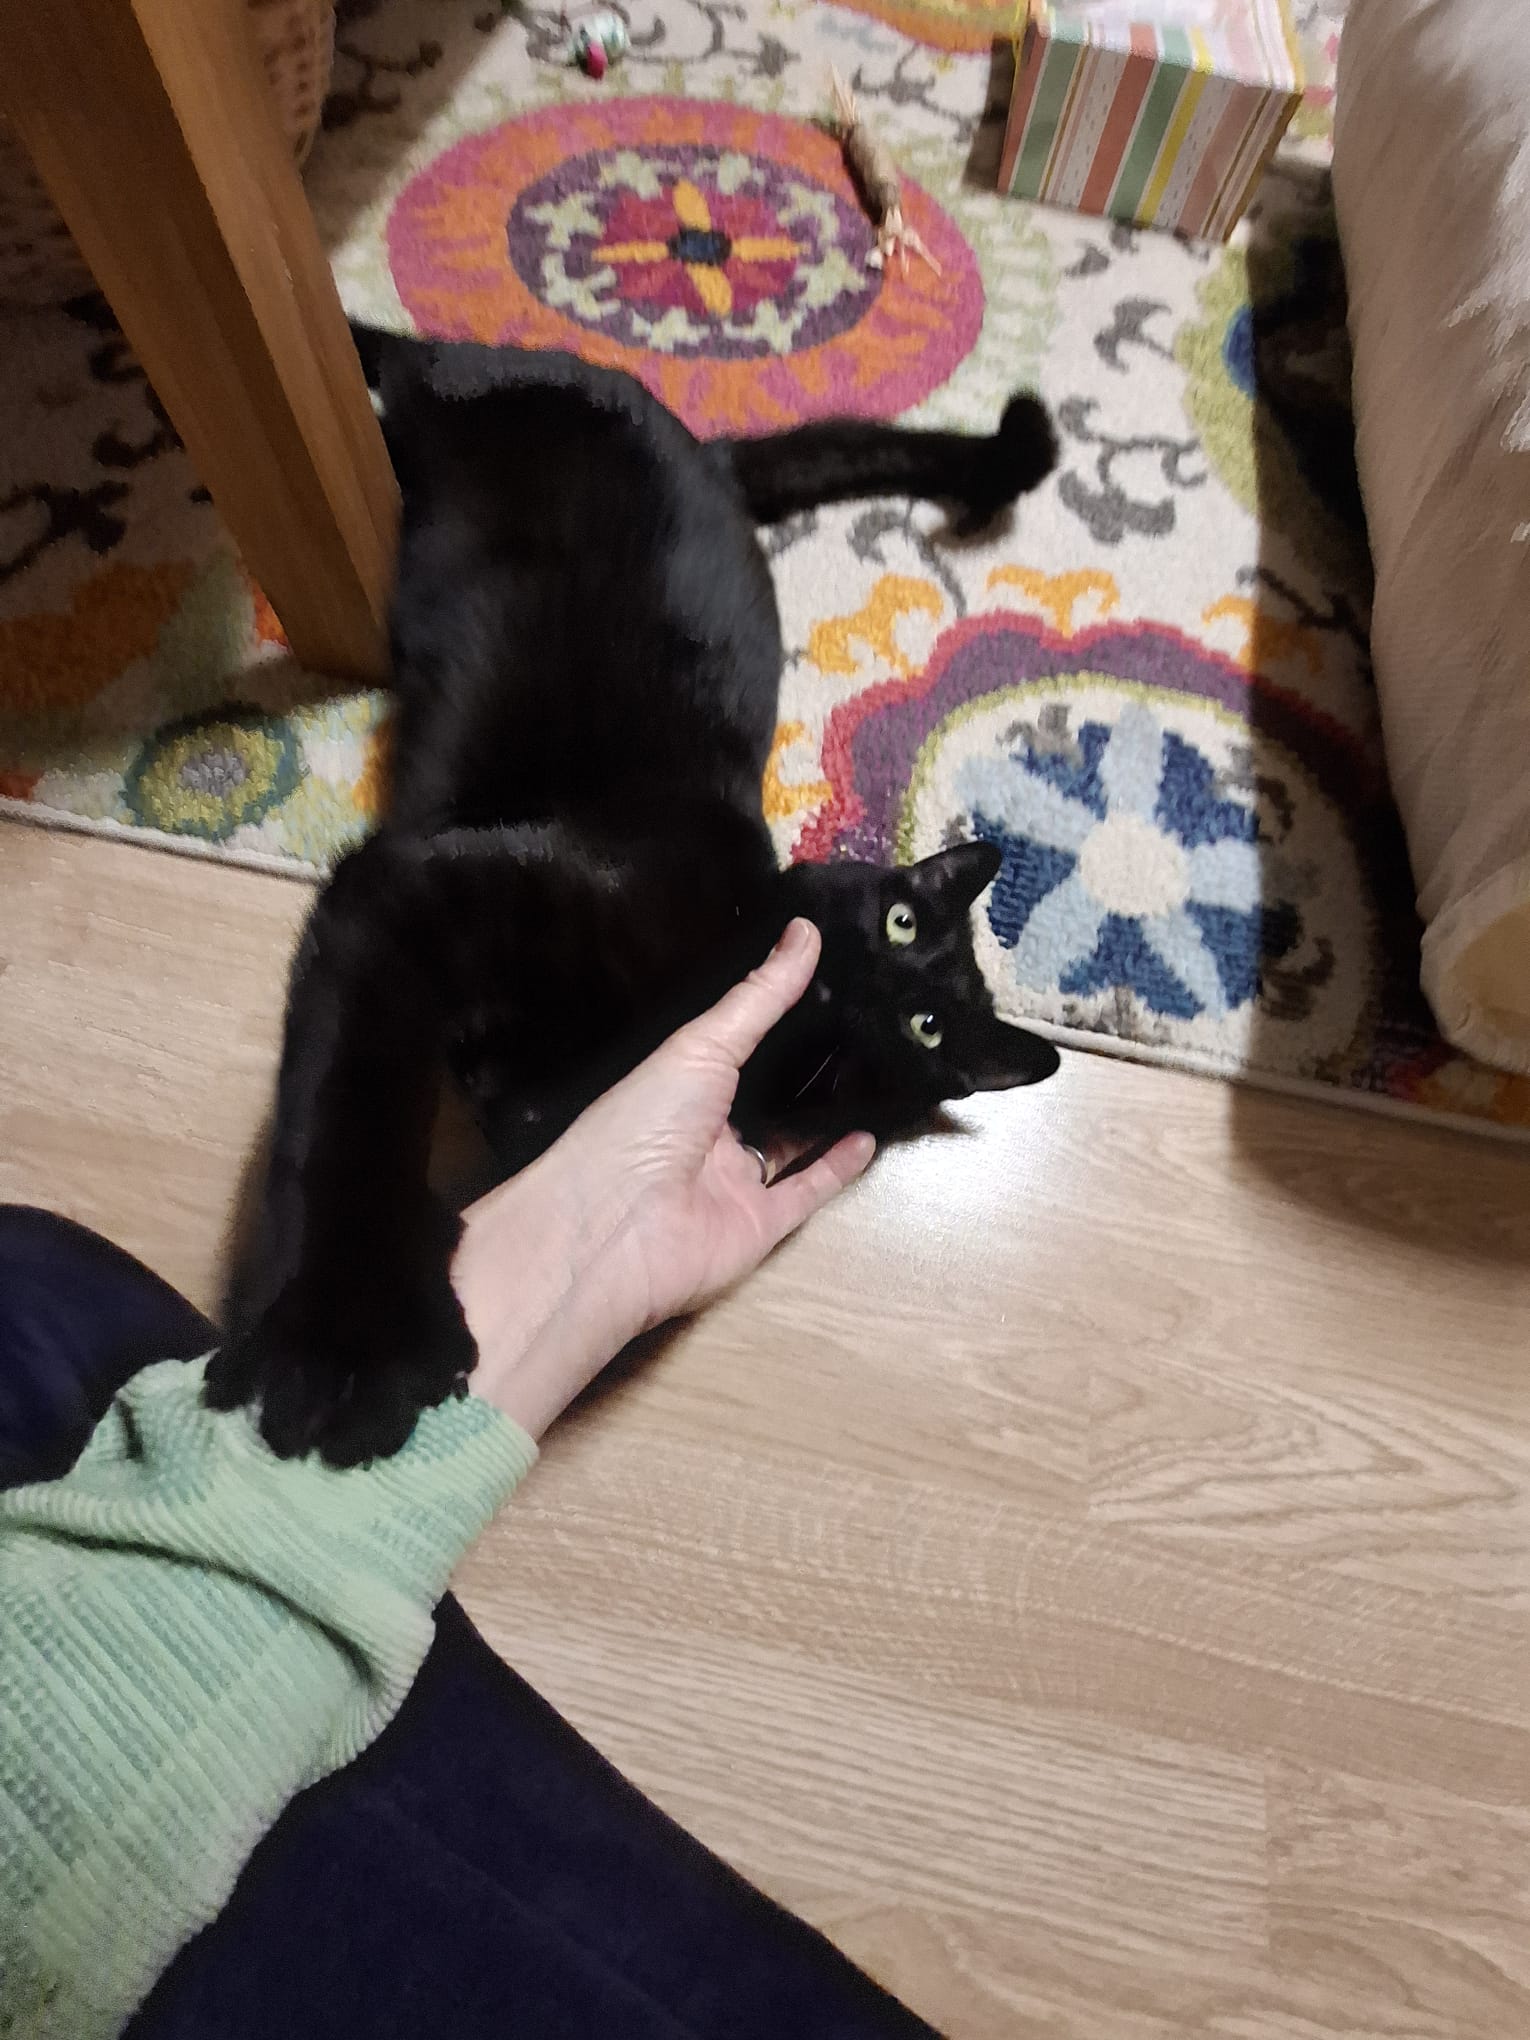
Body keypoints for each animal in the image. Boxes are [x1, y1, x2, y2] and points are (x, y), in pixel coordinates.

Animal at [204, 328, 1061, 1466]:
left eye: (926, 1025)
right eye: (901, 919)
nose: (867, 981)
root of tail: (705, 452)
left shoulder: (532, 1087)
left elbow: (509, 1117)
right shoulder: (412, 892)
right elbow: (356, 1105)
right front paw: (347, 1342)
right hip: (452, 405)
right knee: (402, 361)